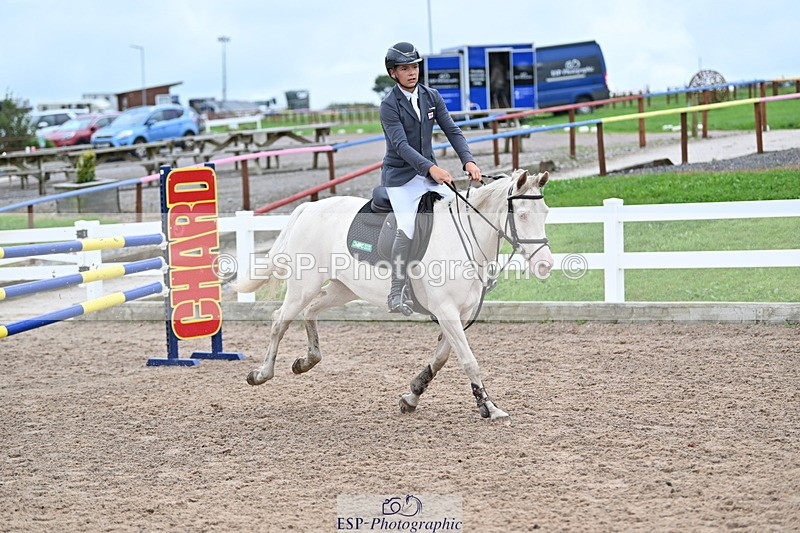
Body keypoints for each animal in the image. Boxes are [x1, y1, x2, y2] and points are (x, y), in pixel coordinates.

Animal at [234, 169, 553, 424]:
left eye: (547, 212)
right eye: (522, 215)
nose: (545, 265)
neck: (464, 240)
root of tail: (308, 209)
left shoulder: (457, 314)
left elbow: (441, 357)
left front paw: (411, 396)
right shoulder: (446, 311)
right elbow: (468, 360)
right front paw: (489, 406)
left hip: (342, 288)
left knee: (311, 310)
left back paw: (307, 361)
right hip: (304, 285)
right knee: (280, 320)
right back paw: (261, 374)